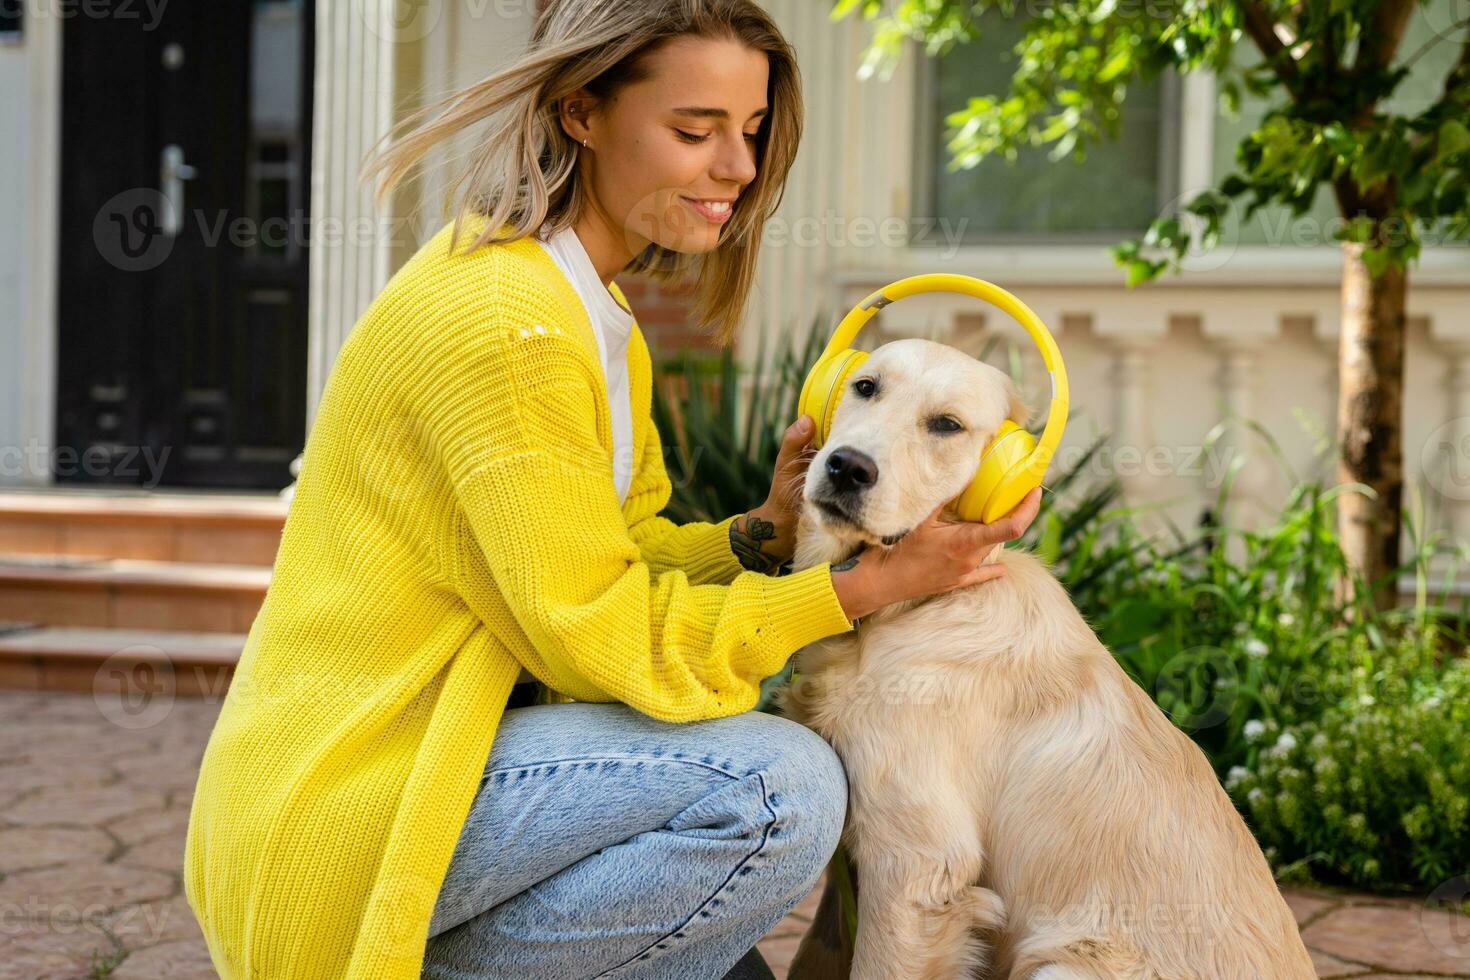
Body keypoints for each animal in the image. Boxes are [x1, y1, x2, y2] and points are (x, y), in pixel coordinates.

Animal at [776, 339, 1317, 980]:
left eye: (947, 425)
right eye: (865, 387)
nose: (848, 467)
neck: (907, 608)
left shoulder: (913, 864)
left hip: (1063, 965)